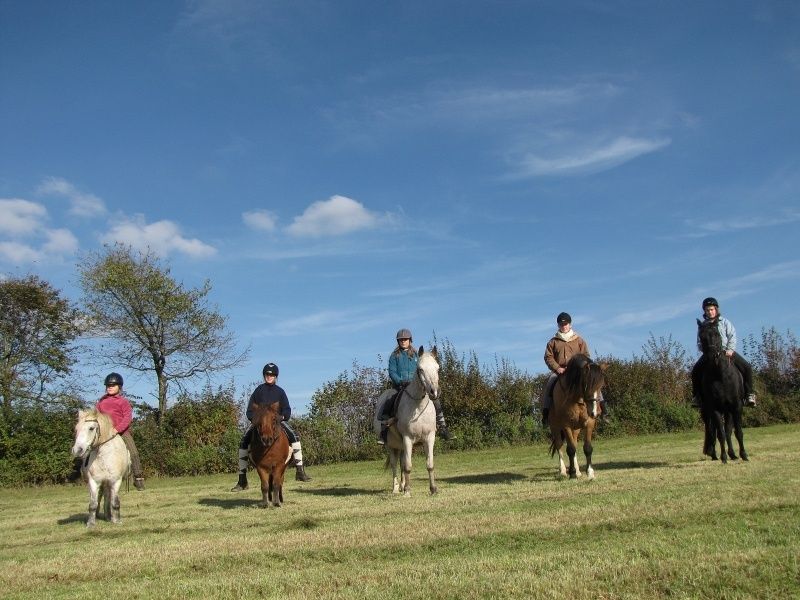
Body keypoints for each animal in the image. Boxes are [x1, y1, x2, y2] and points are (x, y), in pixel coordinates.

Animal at [374, 346, 440, 496]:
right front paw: (407, 491)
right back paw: (396, 488)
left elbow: (430, 465)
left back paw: (402, 485)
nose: (434, 392)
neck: (418, 408)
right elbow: (408, 466)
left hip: (402, 447)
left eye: (437, 368)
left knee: (402, 463)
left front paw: (433, 489)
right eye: (420, 369)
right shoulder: (408, 438)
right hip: (391, 446)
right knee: (395, 465)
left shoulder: (429, 438)